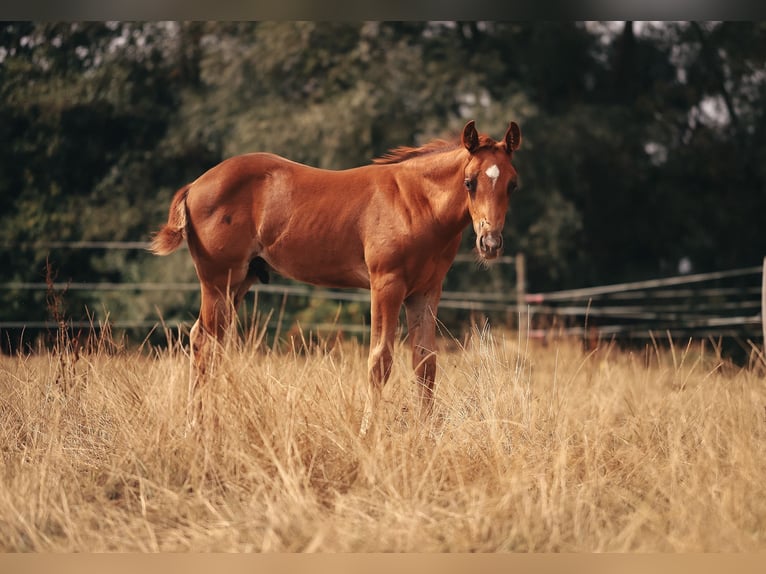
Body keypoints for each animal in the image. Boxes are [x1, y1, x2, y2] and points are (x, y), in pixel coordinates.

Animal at [150, 120, 522, 433]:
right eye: (469, 182)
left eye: (512, 185)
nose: (490, 243)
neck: (417, 203)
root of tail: (195, 186)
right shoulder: (386, 284)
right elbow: (380, 359)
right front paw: (369, 432)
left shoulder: (426, 291)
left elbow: (425, 363)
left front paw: (426, 434)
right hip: (219, 280)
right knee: (203, 342)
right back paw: (196, 427)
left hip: (239, 283)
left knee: (210, 342)